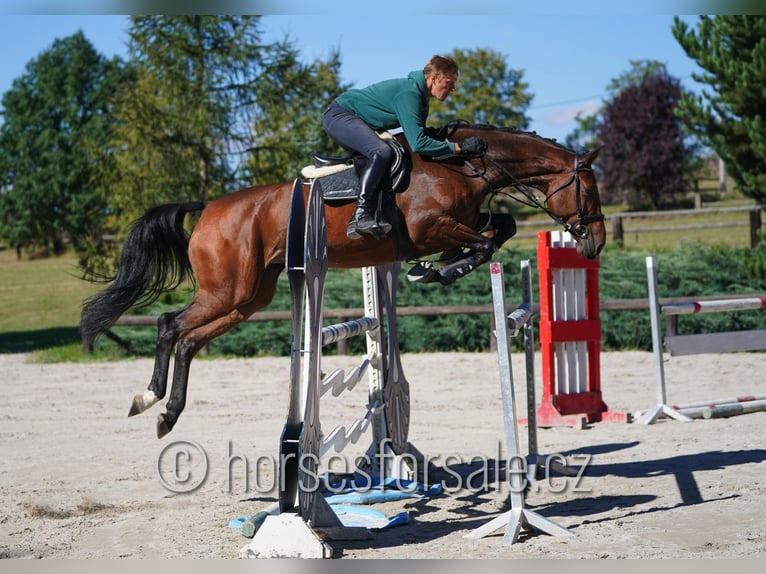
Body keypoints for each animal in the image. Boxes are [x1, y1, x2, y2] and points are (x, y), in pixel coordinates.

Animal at [79, 124, 608, 438]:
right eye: (589, 189)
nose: (596, 244)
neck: (461, 164)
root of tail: (208, 207)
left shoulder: (462, 222)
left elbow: (502, 228)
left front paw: (445, 265)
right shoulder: (428, 228)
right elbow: (484, 240)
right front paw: (439, 268)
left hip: (248, 297)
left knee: (189, 340)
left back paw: (168, 412)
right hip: (226, 290)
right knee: (169, 324)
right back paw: (149, 398)